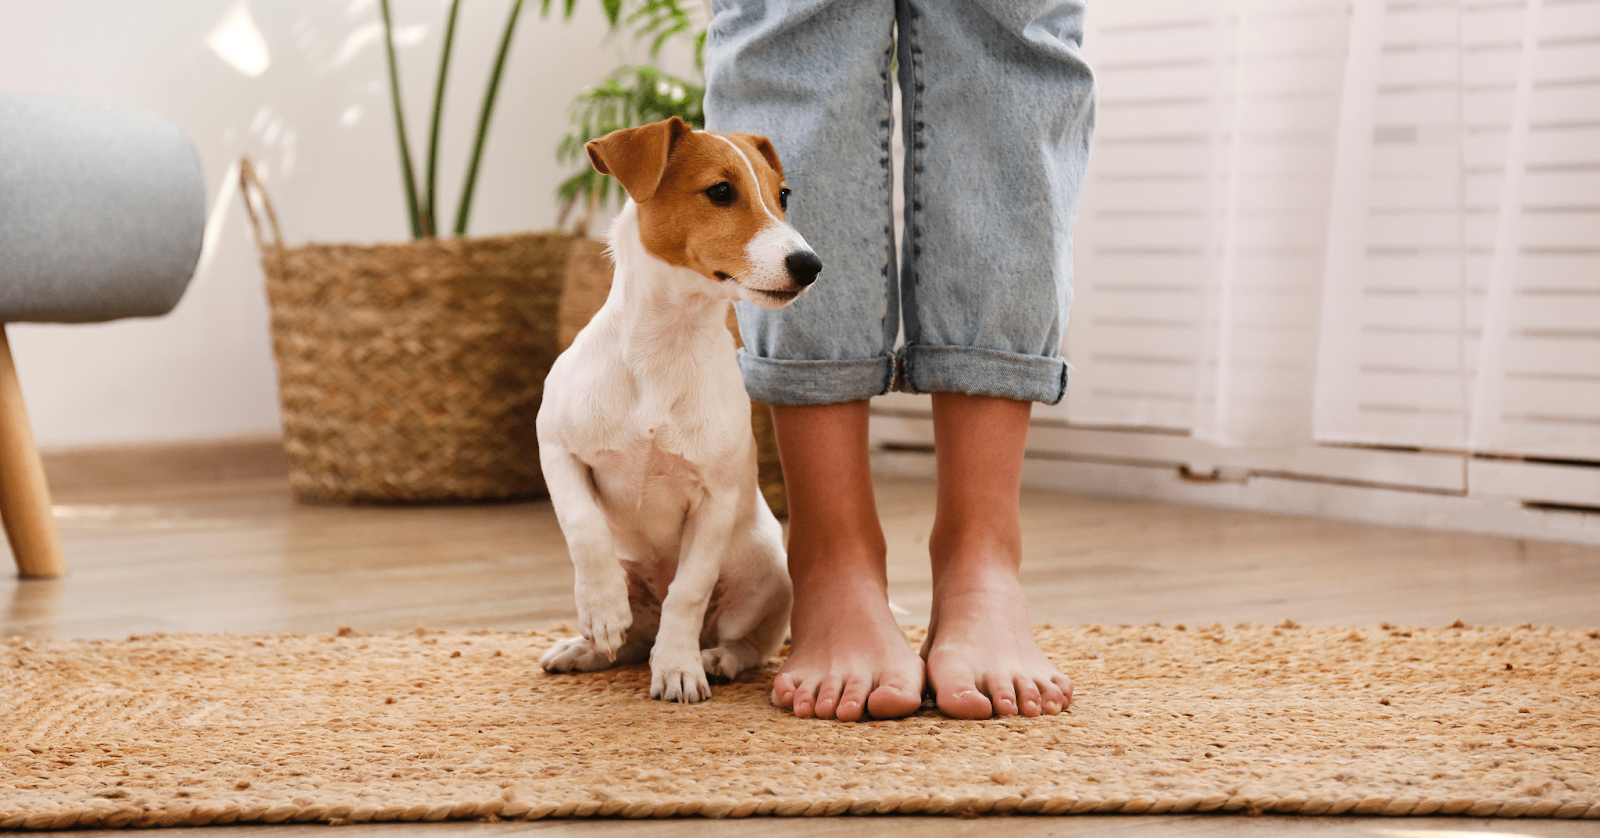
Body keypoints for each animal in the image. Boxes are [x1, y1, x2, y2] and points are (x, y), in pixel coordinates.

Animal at [537, 115, 819, 700]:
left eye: (782, 196)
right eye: (721, 192)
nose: (811, 265)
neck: (665, 348)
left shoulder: (715, 498)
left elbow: (687, 592)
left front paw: (678, 669)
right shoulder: (554, 444)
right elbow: (583, 524)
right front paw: (600, 609)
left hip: (769, 573)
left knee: (748, 642)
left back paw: (715, 657)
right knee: (631, 640)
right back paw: (588, 646)